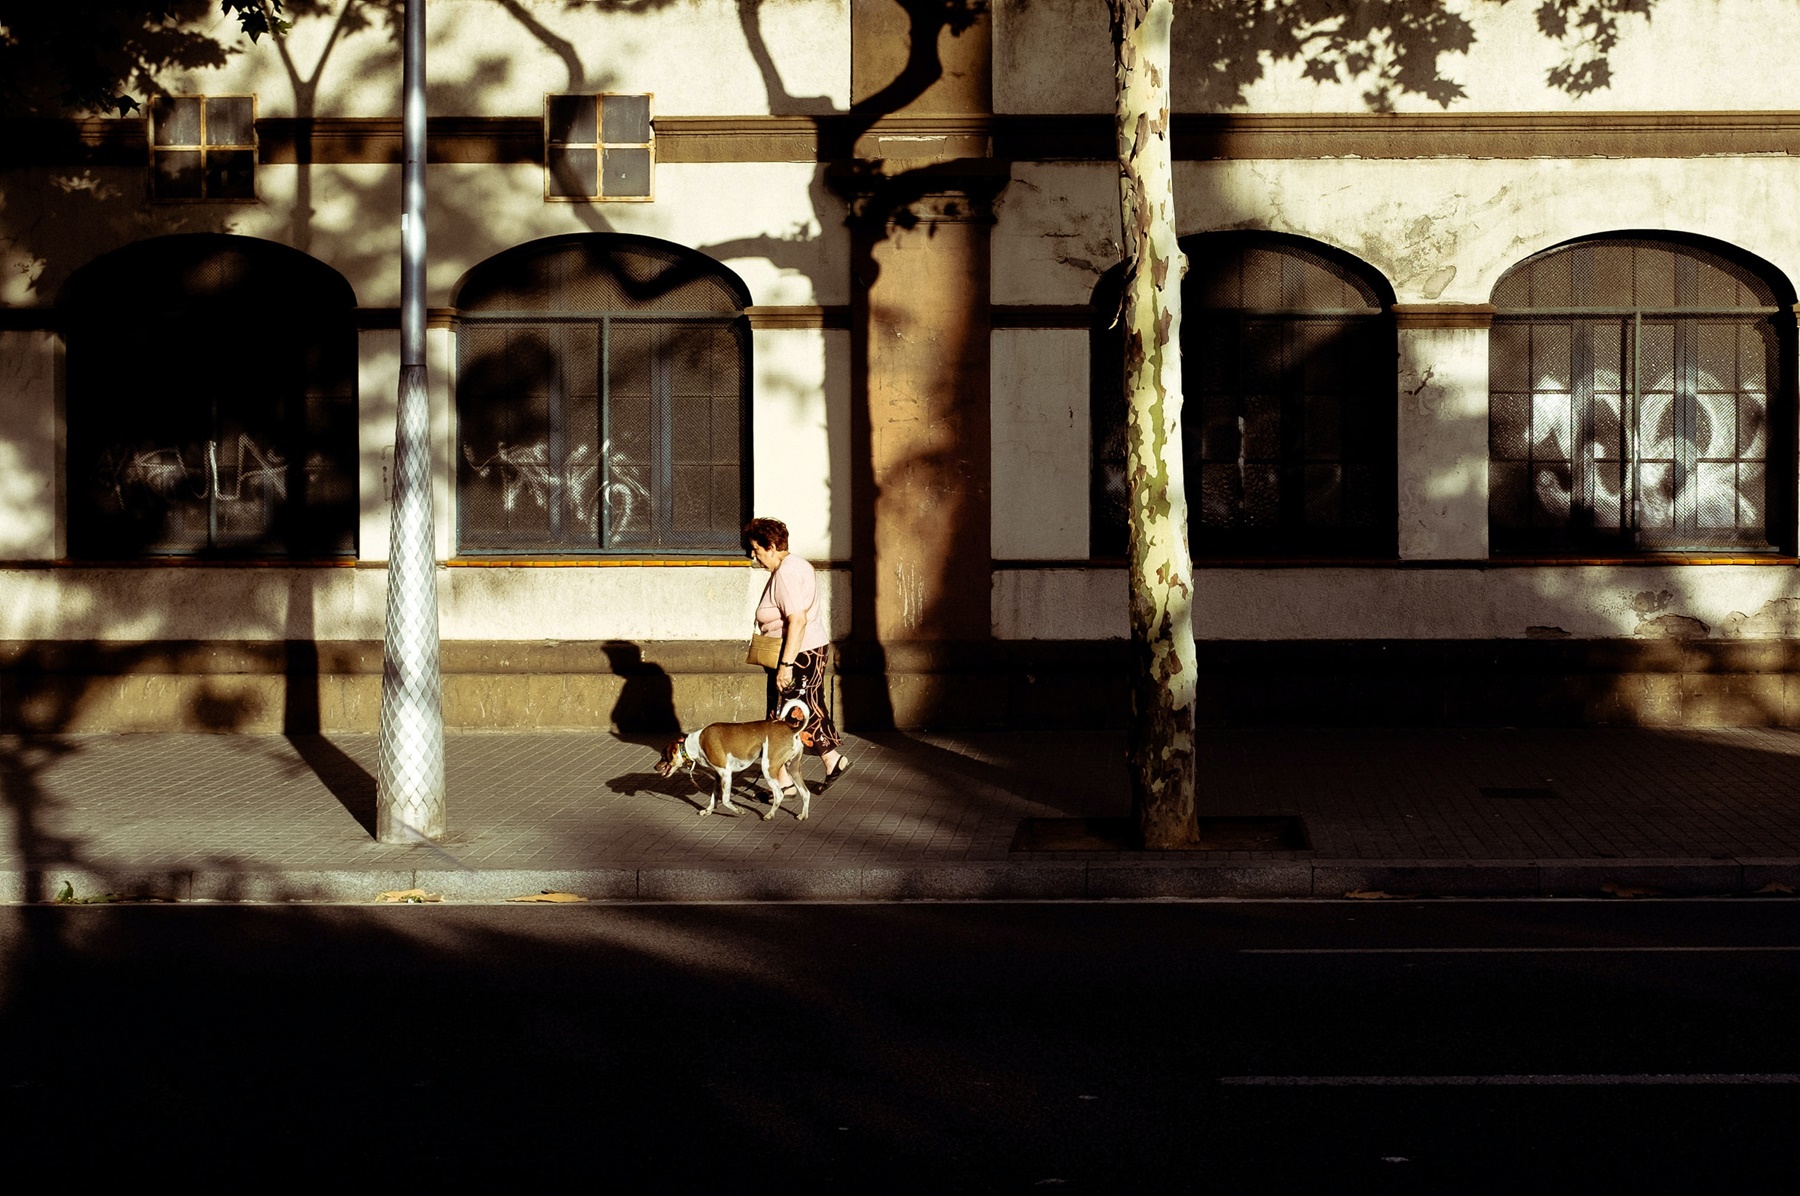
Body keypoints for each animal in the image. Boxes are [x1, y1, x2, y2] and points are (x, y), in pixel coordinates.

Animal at [651, 702, 813, 821]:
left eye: (663, 756)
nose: (654, 767)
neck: (695, 744)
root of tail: (792, 729)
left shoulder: (726, 773)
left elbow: (725, 799)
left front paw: (738, 810)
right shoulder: (718, 776)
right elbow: (714, 797)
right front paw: (708, 811)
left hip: (768, 767)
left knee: (779, 794)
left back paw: (769, 815)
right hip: (792, 768)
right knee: (806, 792)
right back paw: (803, 815)